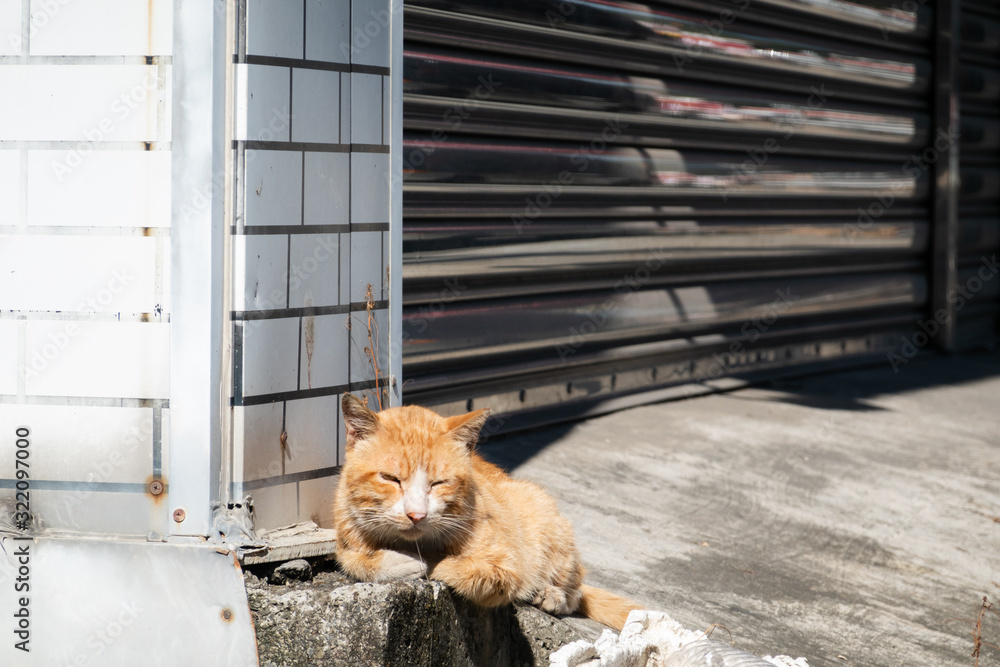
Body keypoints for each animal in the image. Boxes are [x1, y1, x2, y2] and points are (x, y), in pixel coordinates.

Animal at [332, 396, 636, 632]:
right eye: (390, 478)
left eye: (439, 483)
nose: (416, 515)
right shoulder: (345, 539)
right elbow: (353, 560)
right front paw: (397, 560)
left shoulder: (507, 570)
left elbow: (456, 567)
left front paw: (424, 560)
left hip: (544, 515)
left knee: (576, 592)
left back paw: (550, 594)